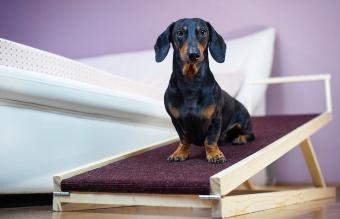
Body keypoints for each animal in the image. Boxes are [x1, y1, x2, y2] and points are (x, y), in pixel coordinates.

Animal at [155, 18, 254, 163]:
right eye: (179, 32)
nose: (194, 55)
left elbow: (210, 140)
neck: (191, 84)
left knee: (250, 135)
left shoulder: (215, 119)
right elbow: (184, 139)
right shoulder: (176, 121)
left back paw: (240, 138)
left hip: (243, 122)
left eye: (203, 32)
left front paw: (214, 154)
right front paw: (180, 153)